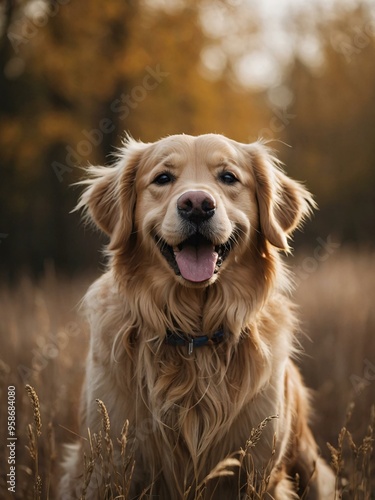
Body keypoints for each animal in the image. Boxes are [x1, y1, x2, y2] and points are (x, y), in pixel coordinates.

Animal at [58, 132, 334, 496]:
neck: (194, 335)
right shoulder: (107, 466)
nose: (197, 204)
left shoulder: (260, 472)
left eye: (228, 177)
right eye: (163, 178)